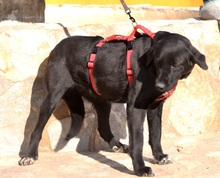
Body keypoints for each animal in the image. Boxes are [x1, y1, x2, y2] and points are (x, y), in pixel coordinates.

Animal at [18, 31, 208, 177]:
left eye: (175, 65)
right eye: (157, 62)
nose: (159, 86)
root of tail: (57, 47)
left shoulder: (155, 108)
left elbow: (156, 134)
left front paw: (159, 156)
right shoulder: (136, 107)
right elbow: (138, 140)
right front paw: (140, 168)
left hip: (103, 99)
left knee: (103, 127)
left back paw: (118, 145)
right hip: (53, 98)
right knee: (36, 130)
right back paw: (30, 156)